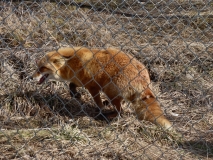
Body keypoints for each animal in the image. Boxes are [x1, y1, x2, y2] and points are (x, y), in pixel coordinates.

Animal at [32, 47, 173, 129]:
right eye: (37, 67)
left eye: (42, 68)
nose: (31, 77)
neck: (72, 63)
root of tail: (143, 77)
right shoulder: (81, 82)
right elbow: (71, 86)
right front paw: (75, 95)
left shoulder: (93, 87)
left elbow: (98, 103)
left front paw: (99, 111)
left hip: (109, 90)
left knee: (120, 111)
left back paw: (109, 115)